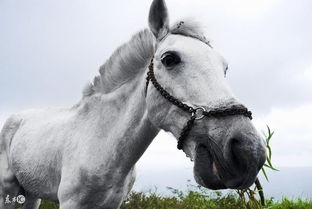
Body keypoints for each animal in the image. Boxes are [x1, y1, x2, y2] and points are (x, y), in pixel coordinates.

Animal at [0, 0, 266, 208]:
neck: (102, 144)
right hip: (8, 193)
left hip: (31, 195)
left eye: (225, 68)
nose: (250, 152)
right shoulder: (70, 203)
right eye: (169, 59)